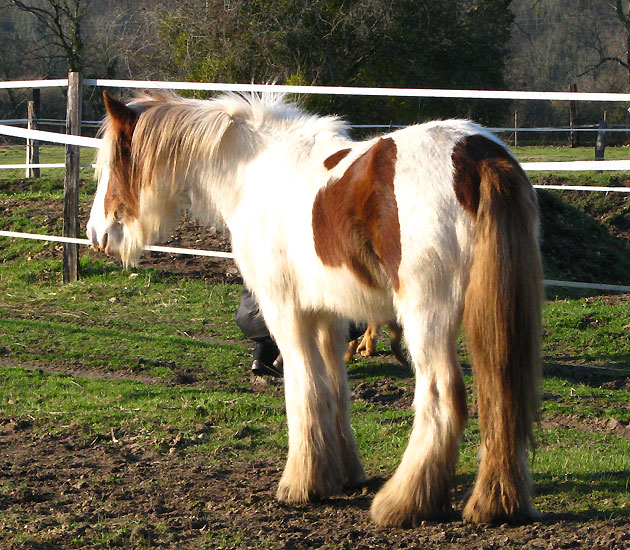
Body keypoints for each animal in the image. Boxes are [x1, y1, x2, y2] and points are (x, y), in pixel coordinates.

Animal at [86, 91, 544, 532]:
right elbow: (334, 390)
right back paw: (496, 505)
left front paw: (301, 484)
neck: (254, 170)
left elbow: (303, 389)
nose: (96, 235)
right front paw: (342, 474)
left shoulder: (286, 311)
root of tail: (478, 155)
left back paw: (403, 504)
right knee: (502, 397)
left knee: (442, 398)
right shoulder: (329, 316)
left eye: (110, 164)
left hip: (426, 318)